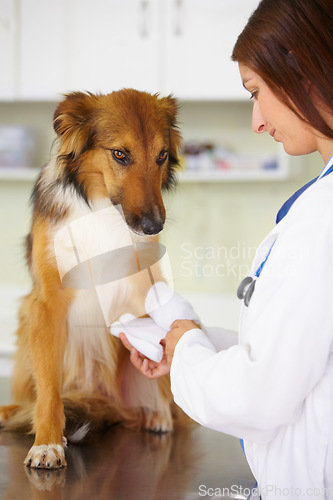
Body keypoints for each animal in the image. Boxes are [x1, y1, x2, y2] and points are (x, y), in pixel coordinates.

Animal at [0, 89, 185, 468]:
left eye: (161, 156)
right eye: (120, 154)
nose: (153, 227)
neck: (100, 209)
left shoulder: (140, 289)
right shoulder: (47, 300)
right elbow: (49, 389)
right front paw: (47, 442)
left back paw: (157, 414)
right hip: (26, 323)